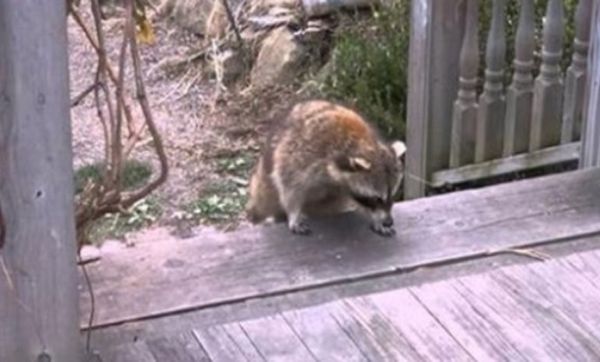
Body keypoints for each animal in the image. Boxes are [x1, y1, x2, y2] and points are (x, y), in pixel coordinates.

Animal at [245, 100, 408, 238]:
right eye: (376, 198)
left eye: (392, 195)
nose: (388, 221)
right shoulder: (300, 156)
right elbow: (290, 188)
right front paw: (293, 214)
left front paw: (376, 219)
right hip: (263, 185)